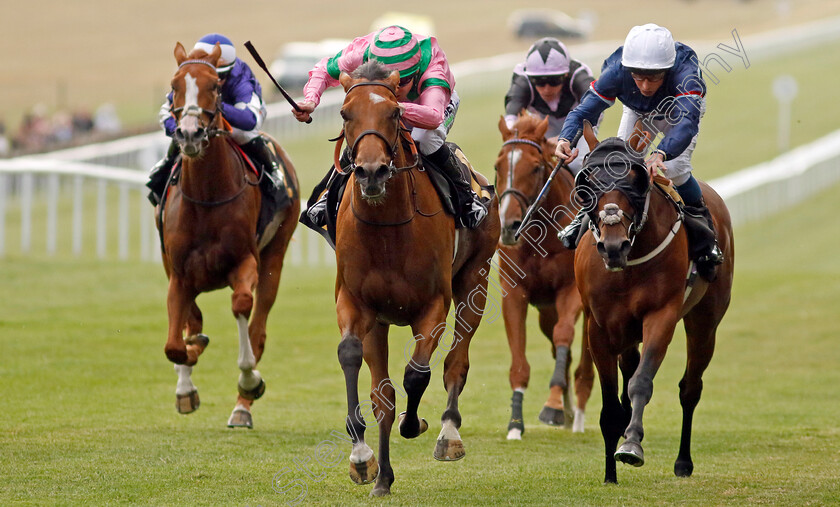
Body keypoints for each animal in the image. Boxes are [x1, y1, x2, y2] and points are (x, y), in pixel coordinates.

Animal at [159, 41, 300, 428]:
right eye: (174, 85)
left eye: (215, 86)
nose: (189, 134)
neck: (207, 197)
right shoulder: (178, 273)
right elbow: (175, 343)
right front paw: (188, 369)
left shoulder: (244, 262)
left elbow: (241, 308)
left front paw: (249, 381)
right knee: (192, 320)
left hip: (275, 255)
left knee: (258, 327)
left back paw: (242, 407)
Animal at [330, 61, 498, 498]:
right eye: (344, 114)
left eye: (394, 113)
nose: (371, 172)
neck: (388, 230)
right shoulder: (356, 303)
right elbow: (360, 368)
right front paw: (365, 461)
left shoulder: (433, 305)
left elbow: (416, 374)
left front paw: (415, 422)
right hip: (382, 321)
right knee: (383, 390)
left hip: (476, 279)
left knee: (456, 361)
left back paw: (448, 434)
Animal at [496, 114, 592, 436]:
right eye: (498, 166)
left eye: (536, 167)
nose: (509, 226)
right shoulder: (514, 292)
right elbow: (519, 362)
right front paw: (515, 423)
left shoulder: (570, 290)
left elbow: (564, 334)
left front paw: (552, 405)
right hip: (545, 312)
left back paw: (577, 412)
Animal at [576, 123, 732, 484]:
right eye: (588, 184)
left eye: (635, 182)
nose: (613, 246)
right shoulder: (598, 327)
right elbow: (610, 406)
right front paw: (609, 474)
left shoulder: (662, 315)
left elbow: (641, 383)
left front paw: (631, 445)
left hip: (705, 321)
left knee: (690, 388)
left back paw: (683, 462)